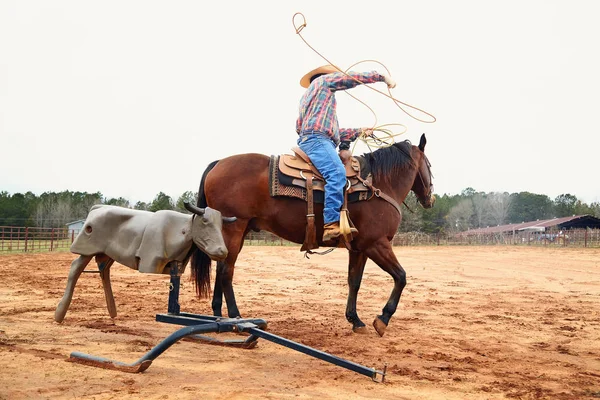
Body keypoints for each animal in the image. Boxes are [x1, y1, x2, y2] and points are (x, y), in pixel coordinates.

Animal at [190, 134, 434, 334]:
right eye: (430, 165)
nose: (430, 198)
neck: (378, 186)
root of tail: (218, 164)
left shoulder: (359, 248)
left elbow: (354, 281)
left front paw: (355, 320)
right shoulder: (376, 244)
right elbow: (401, 277)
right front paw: (382, 318)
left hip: (235, 232)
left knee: (221, 267)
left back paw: (218, 315)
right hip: (235, 228)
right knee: (226, 271)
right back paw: (236, 317)